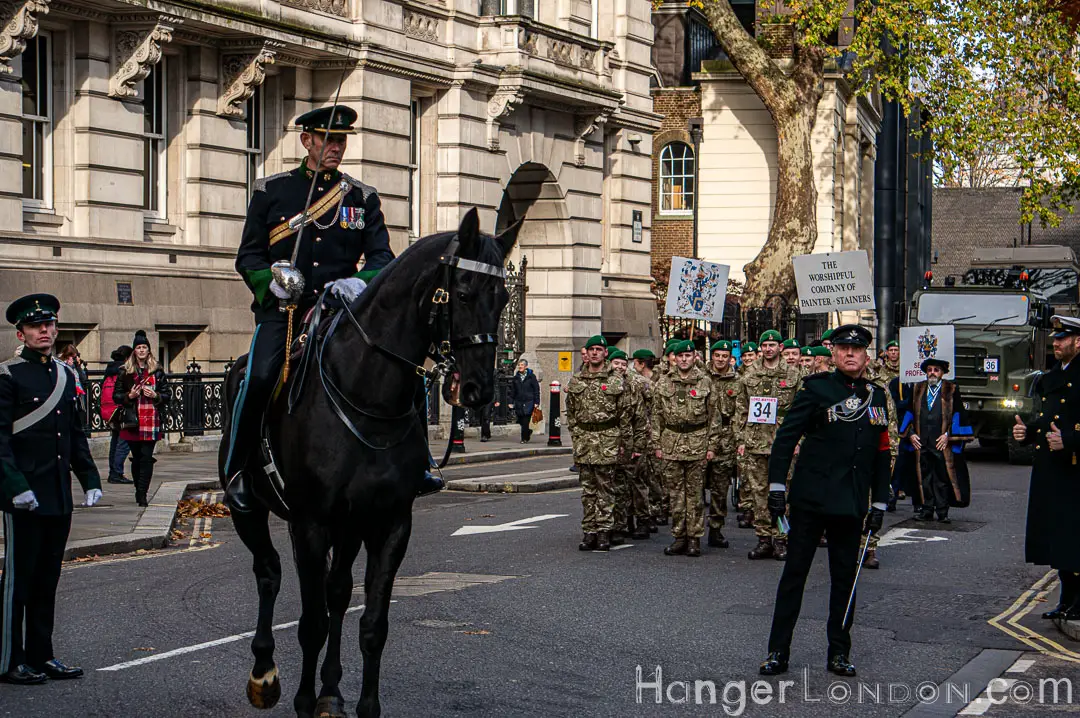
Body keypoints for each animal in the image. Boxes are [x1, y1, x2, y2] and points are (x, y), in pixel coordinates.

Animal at [218, 210, 518, 716]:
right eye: (462, 292)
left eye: (505, 298)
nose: (480, 390)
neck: (366, 395)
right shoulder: (310, 523)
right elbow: (311, 622)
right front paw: (302, 700)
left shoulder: (390, 522)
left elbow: (372, 624)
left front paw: (359, 703)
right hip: (253, 508)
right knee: (269, 572)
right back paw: (264, 674)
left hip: (350, 525)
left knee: (338, 593)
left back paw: (331, 691)